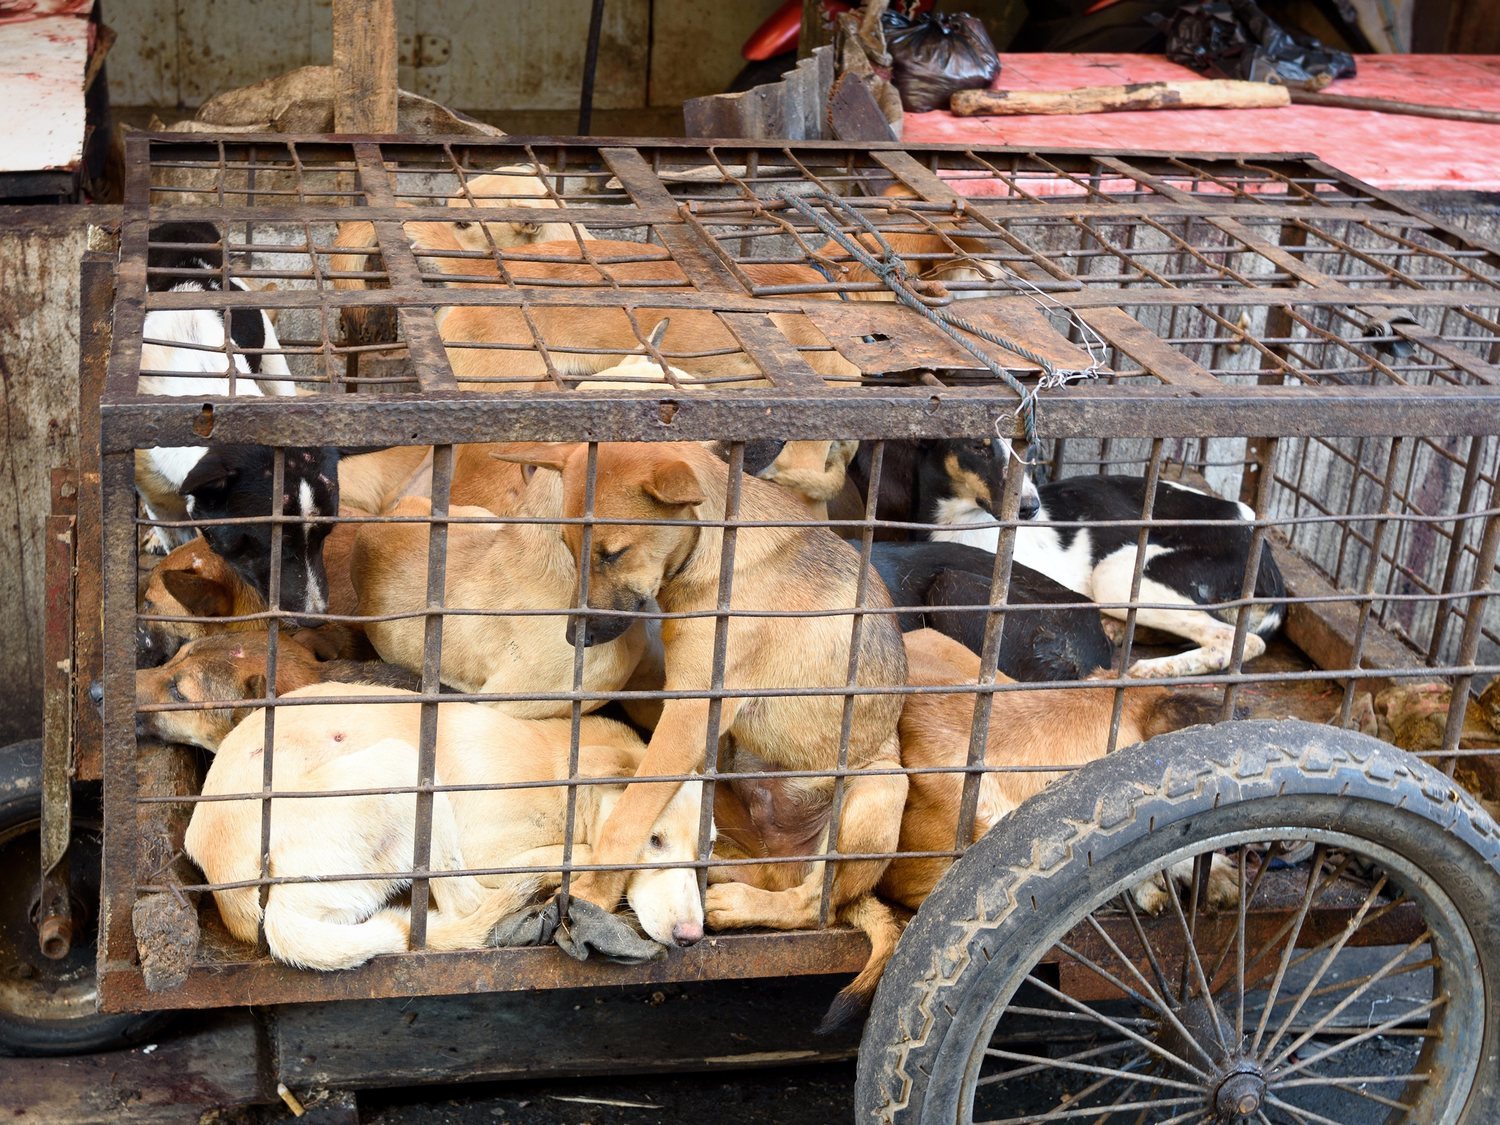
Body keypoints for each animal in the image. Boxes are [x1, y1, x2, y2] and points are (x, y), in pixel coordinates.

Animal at [501, 441, 900, 984]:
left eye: (612, 553)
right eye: (568, 546)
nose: (573, 638)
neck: (711, 552)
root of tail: (787, 852)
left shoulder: (690, 714)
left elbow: (632, 811)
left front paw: (592, 896)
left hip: (878, 787)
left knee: (812, 902)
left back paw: (738, 903)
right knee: (770, 873)